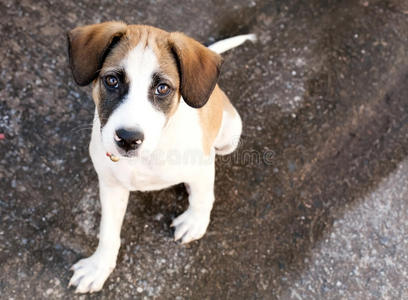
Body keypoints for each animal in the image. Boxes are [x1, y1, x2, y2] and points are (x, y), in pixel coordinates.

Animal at [67, 21, 255, 292]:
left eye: (162, 88)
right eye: (111, 80)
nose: (128, 139)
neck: (149, 154)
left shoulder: (202, 166)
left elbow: (202, 196)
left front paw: (195, 221)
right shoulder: (111, 186)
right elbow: (108, 233)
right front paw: (98, 267)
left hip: (229, 136)